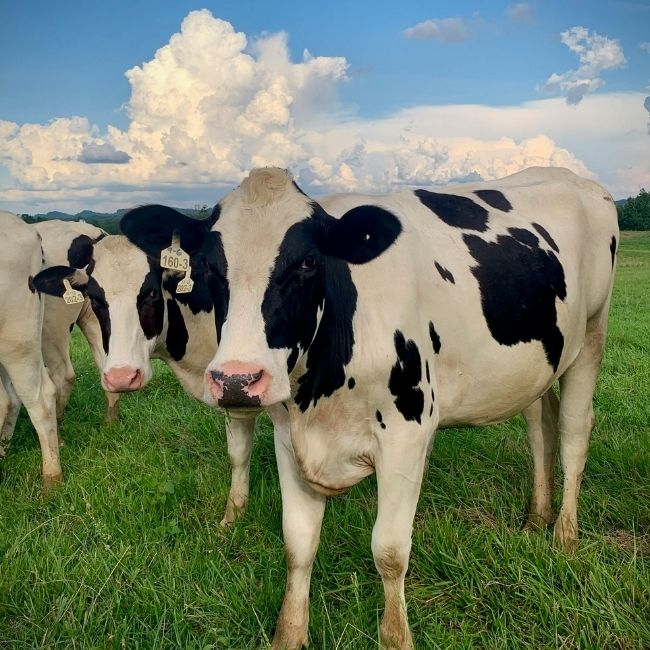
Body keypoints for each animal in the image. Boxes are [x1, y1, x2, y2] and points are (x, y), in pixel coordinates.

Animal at [120, 166, 618, 649]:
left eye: (308, 262)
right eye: (207, 265)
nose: (237, 380)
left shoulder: (407, 435)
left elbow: (390, 550)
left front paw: (396, 638)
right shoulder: (288, 436)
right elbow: (297, 542)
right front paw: (289, 634)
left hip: (592, 335)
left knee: (574, 433)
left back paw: (564, 534)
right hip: (537, 364)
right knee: (540, 424)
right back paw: (536, 518)